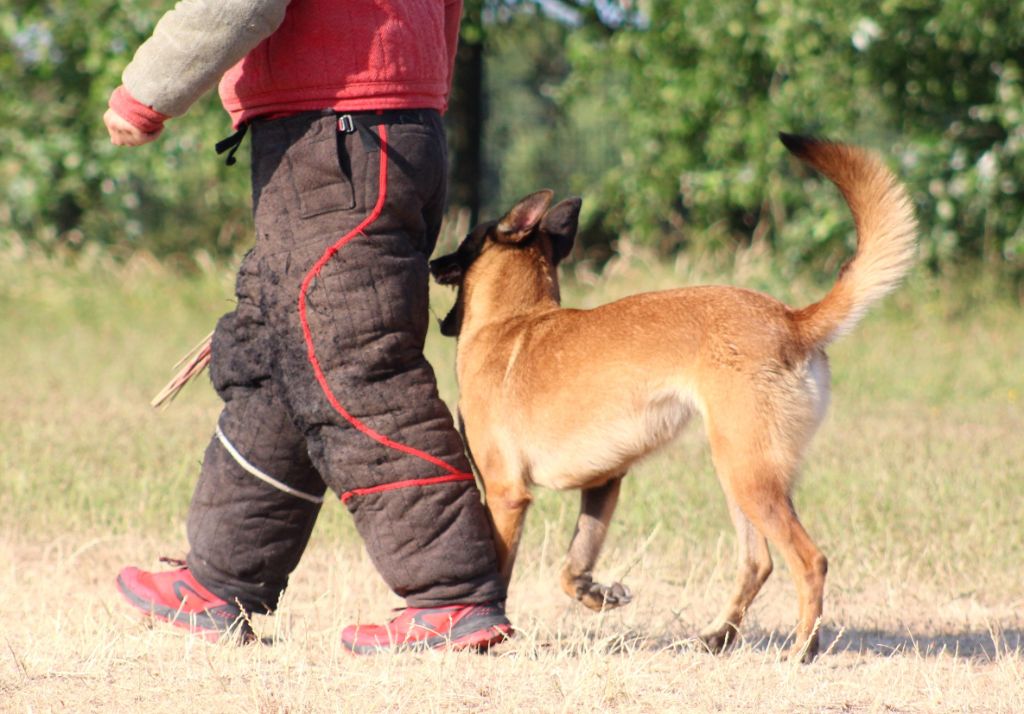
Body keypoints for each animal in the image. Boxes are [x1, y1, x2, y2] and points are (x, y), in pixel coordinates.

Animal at [428, 135, 917, 663]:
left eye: (464, 243)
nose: (431, 262)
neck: (514, 320)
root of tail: (792, 319)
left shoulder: (504, 495)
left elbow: (498, 573)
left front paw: (483, 633)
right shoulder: (604, 482)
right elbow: (572, 567)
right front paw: (597, 594)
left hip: (746, 474)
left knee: (810, 561)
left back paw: (801, 649)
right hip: (743, 476)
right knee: (758, 561)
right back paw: (720, 635)